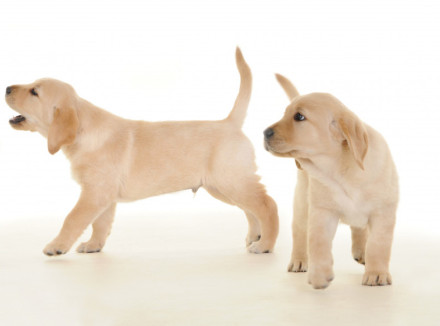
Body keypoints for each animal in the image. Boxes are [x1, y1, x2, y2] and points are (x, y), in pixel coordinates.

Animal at [4, 48, 278, 258]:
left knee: (267, 205)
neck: (85, 130)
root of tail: (230, 122)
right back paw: (255, 237)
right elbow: (100, 224)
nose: (6, 88)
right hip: (222, 186)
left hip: (233, 181)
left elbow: (73, 218)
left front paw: (56, 246)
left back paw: (265, 244)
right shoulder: (104, 196)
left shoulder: (93, 193)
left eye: (34, 92)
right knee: (251, 209)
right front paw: (93, 246)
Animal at [264, 75, 398, 290]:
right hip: (302, 204)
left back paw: (362, 252)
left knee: (360, 230)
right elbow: (318, 242)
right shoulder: (323, 212)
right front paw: (319, 274)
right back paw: (299, 260)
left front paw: (376, 273)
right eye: (285, 114)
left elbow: (378, 244)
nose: (265, 132)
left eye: (299, 117)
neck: (337, 170)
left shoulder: (383, 212)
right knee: (300, 233)